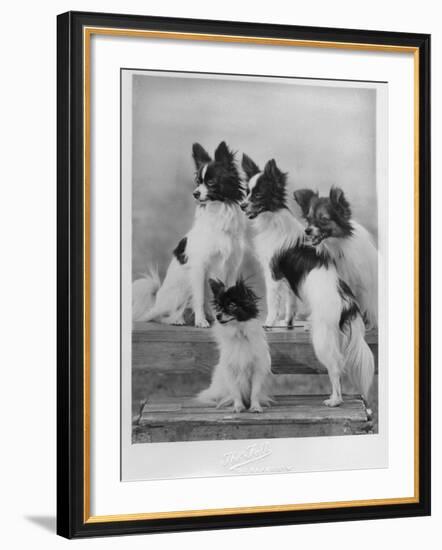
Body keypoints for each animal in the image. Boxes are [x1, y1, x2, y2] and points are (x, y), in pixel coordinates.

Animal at [133, 143, 247, 332]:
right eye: (197, 182)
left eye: (211, 182)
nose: (195, 194)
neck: (218, 211)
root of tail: (156, 300)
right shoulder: (199, 268)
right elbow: (199, 297)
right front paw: (201, 322)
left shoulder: (231, 267)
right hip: (182, 287)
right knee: (163, 315)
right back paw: (178, 319)